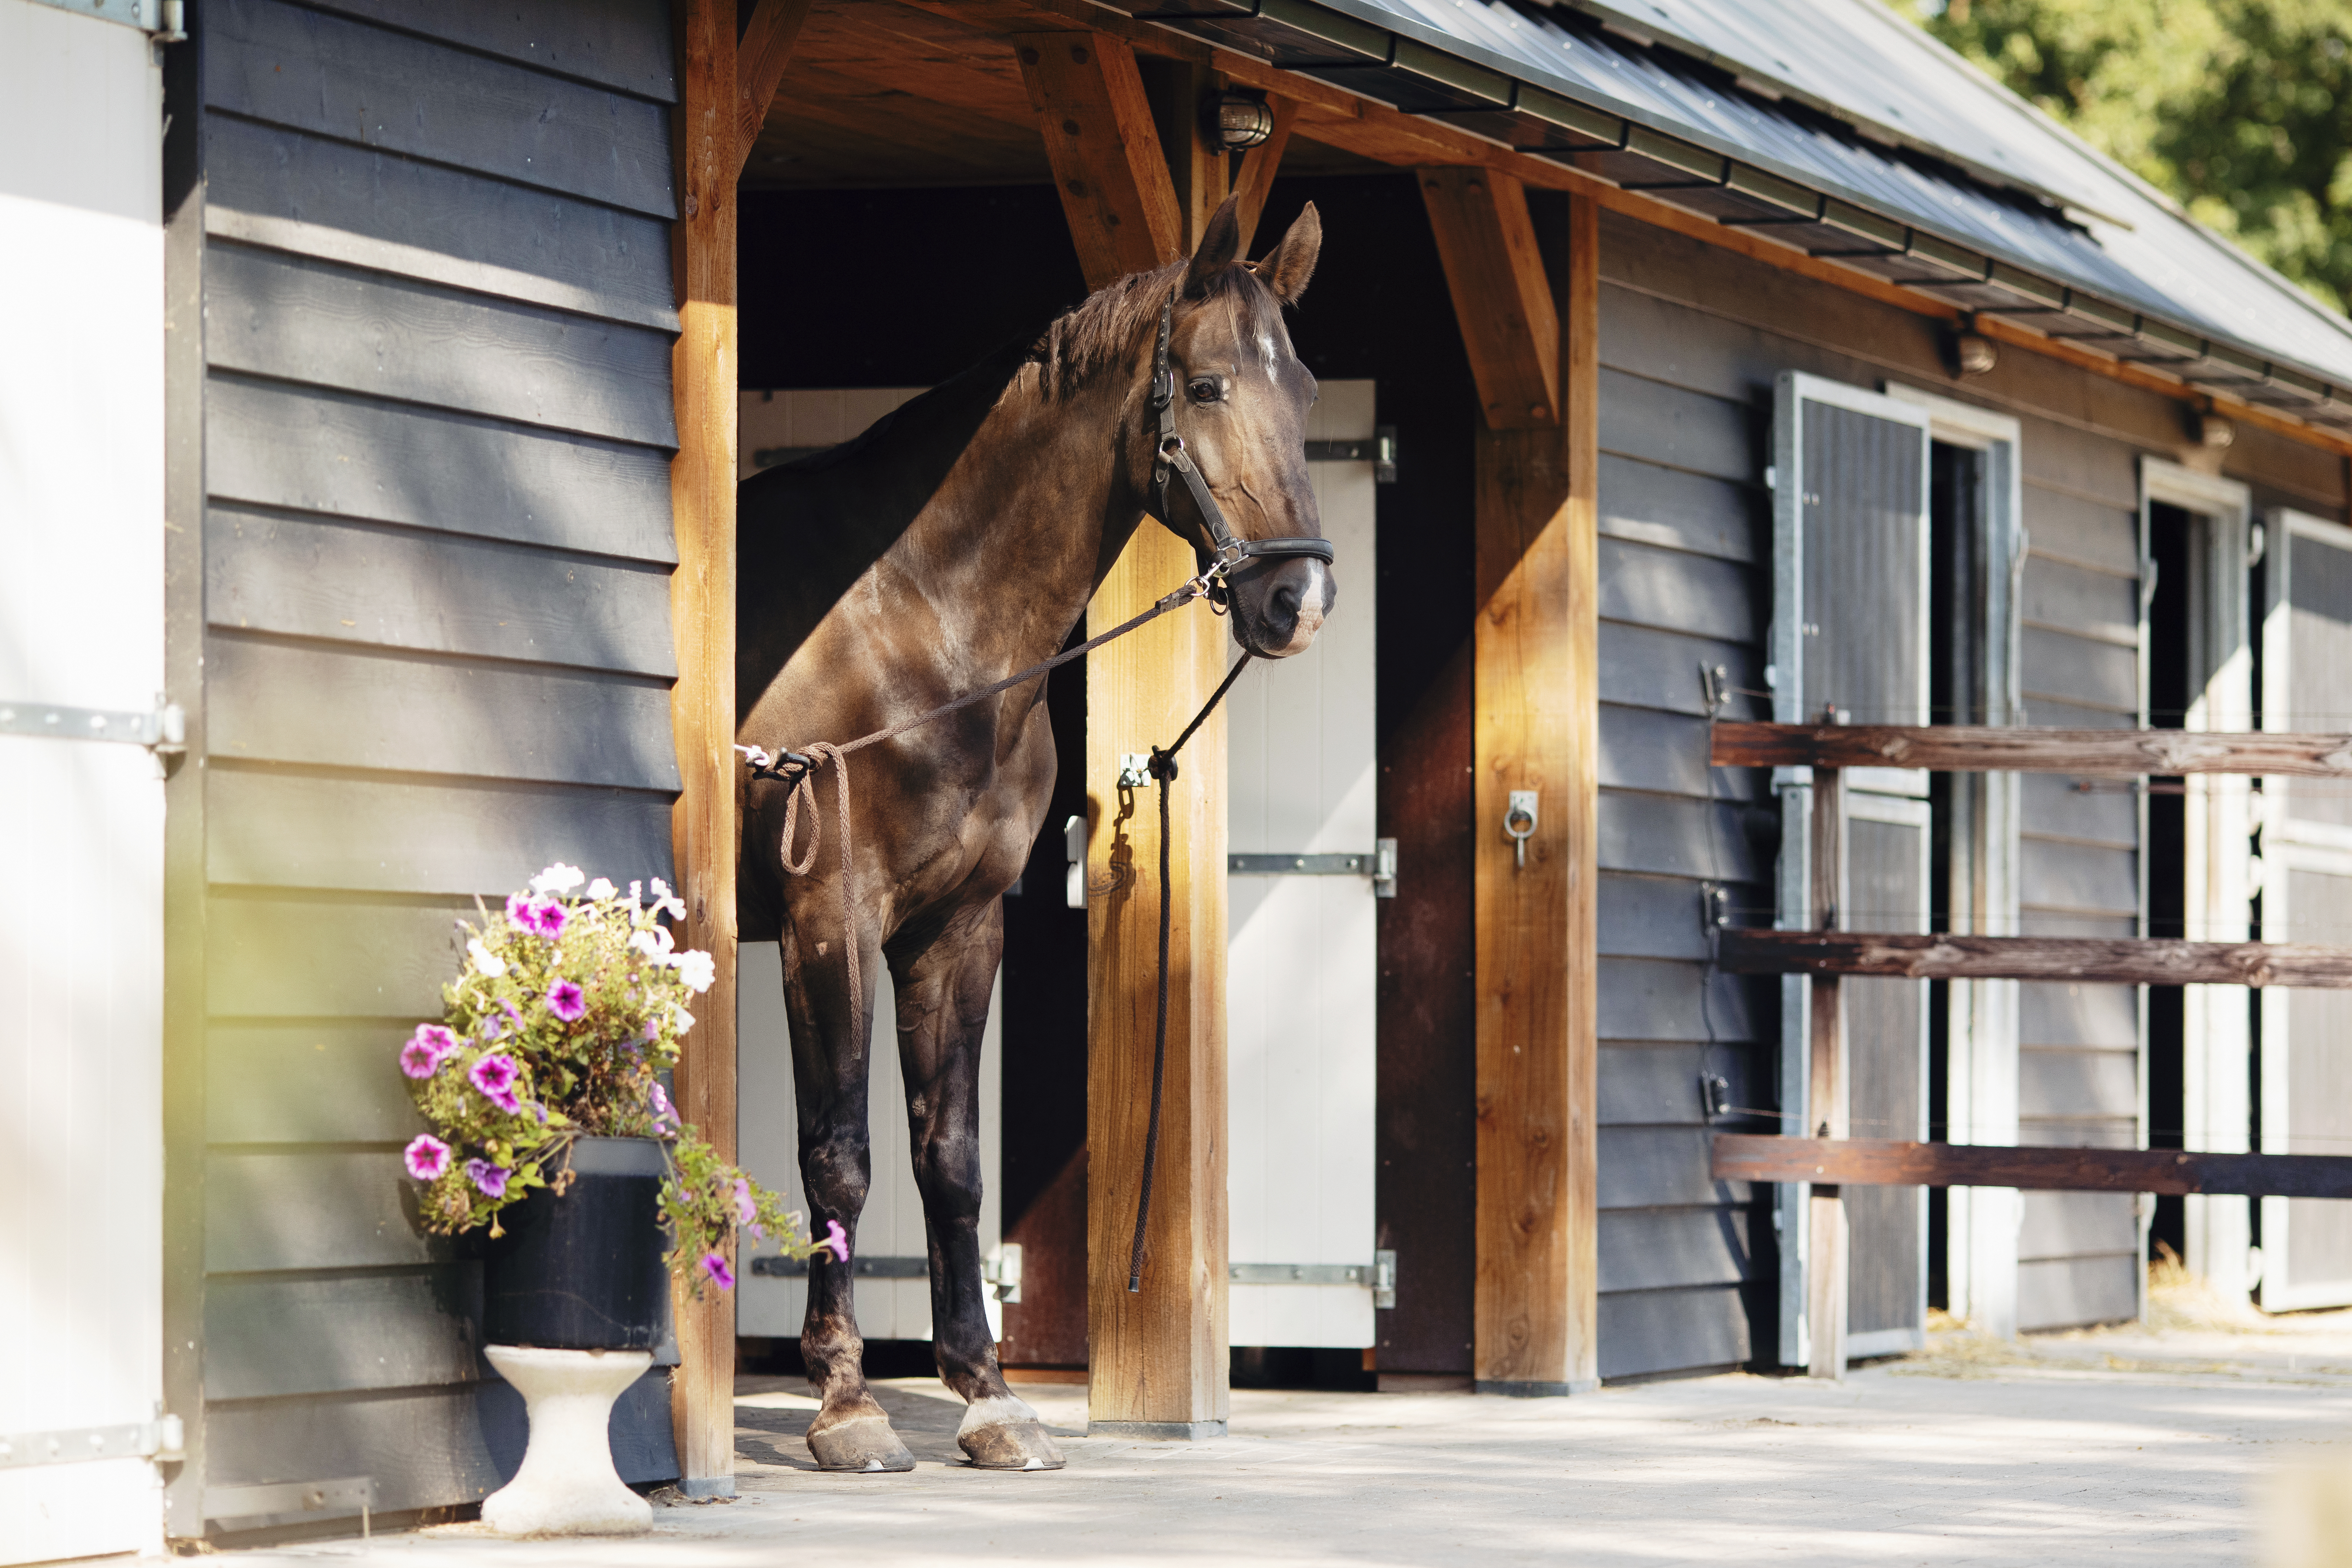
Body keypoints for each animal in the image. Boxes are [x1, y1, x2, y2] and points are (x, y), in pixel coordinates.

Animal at [738, 200, 1327, 1476]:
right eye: (1207, 384)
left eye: (1307, 389)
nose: (1296, 603)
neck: (917, 621)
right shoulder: (827, 918)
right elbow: (839, 1152)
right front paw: (846, 1404)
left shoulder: (954, 928)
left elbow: (950, 1157)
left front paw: (987, 1394)